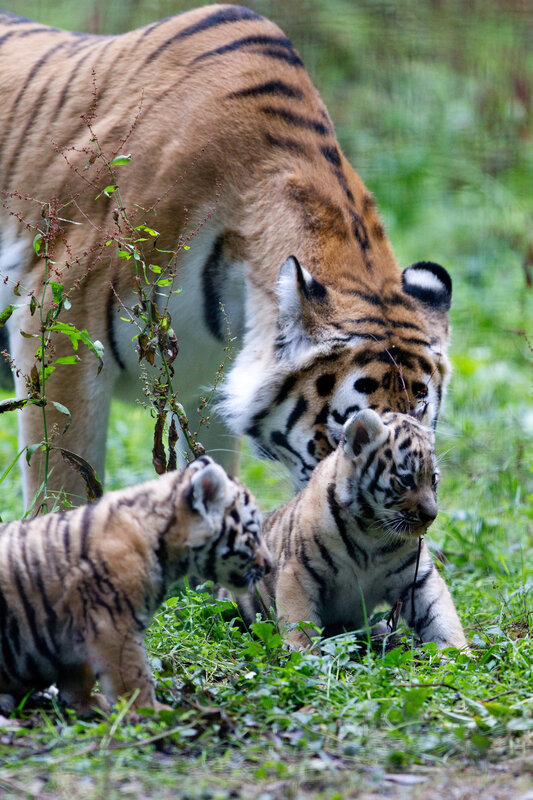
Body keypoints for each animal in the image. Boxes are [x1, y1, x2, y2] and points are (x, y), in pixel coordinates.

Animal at [0, 5, 453, 506]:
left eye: (421, 429)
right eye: (348, 436)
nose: (405, 521)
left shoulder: (205, 385)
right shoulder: (58, 328)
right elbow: (60, 491)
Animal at [0, 455, 270, 714]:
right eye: (253, 534)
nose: (269, 565)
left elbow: (81, 673)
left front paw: (85, 703)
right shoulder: (113, 625)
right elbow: (133, 675)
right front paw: (149, 710)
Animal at [237, 406, 468, 653]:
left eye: (433, 478)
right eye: (406, 480)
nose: (431, 516)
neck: (373, 533)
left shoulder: (418, 579)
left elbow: (441, 614)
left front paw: (457, 652)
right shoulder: (300, 570)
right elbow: (299, 619)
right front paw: (302, 651)